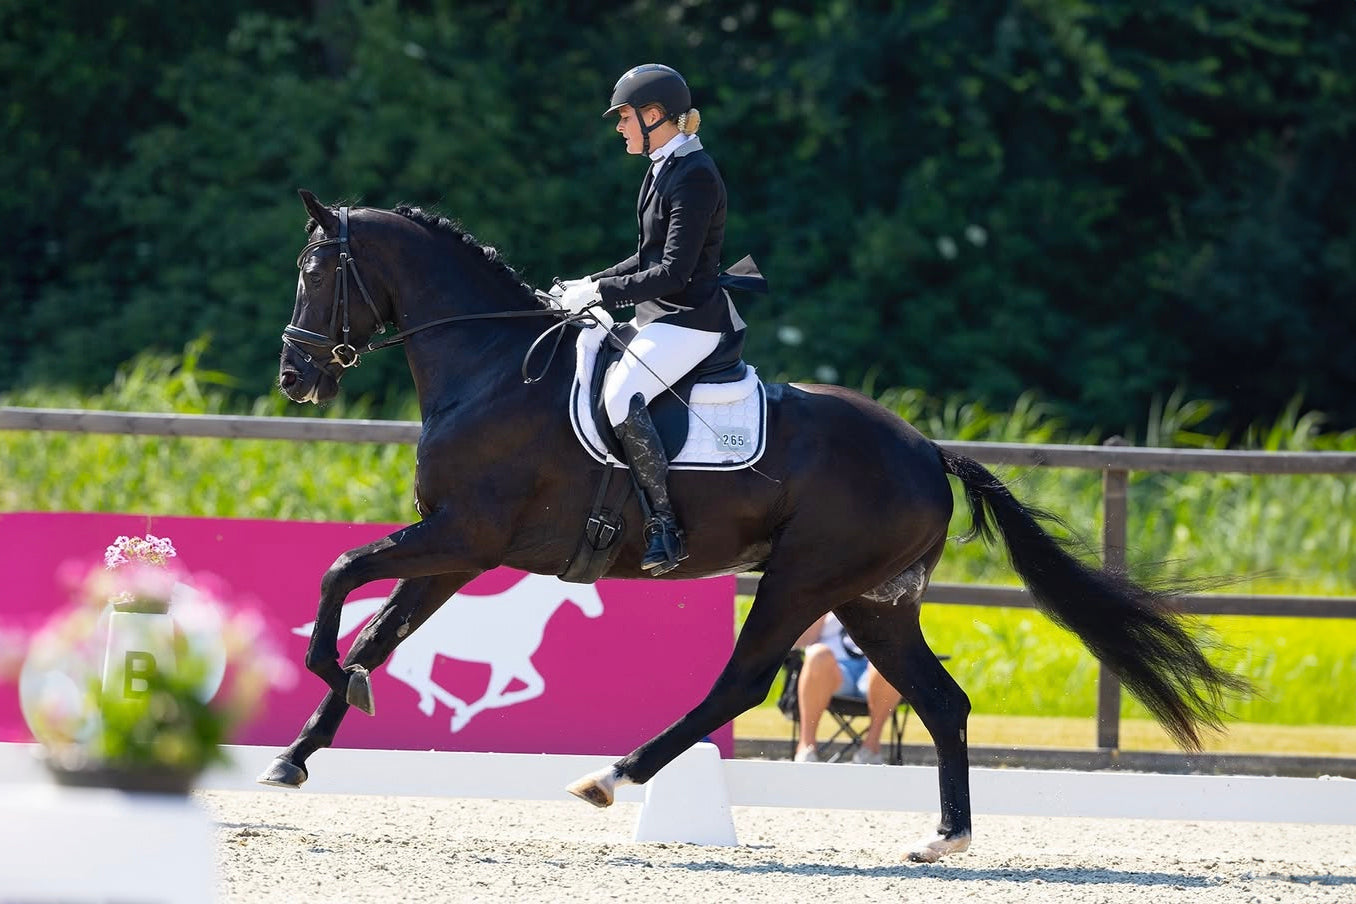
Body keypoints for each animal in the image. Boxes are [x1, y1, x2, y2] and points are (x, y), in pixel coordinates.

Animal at [291, 574, 604, 732]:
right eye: (587, 590)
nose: (596, 611)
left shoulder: (515, 663)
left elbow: (529, 687)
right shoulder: (507, 663)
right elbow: (505, 691)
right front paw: (461, 716)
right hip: (423, 651)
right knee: (405, 672)